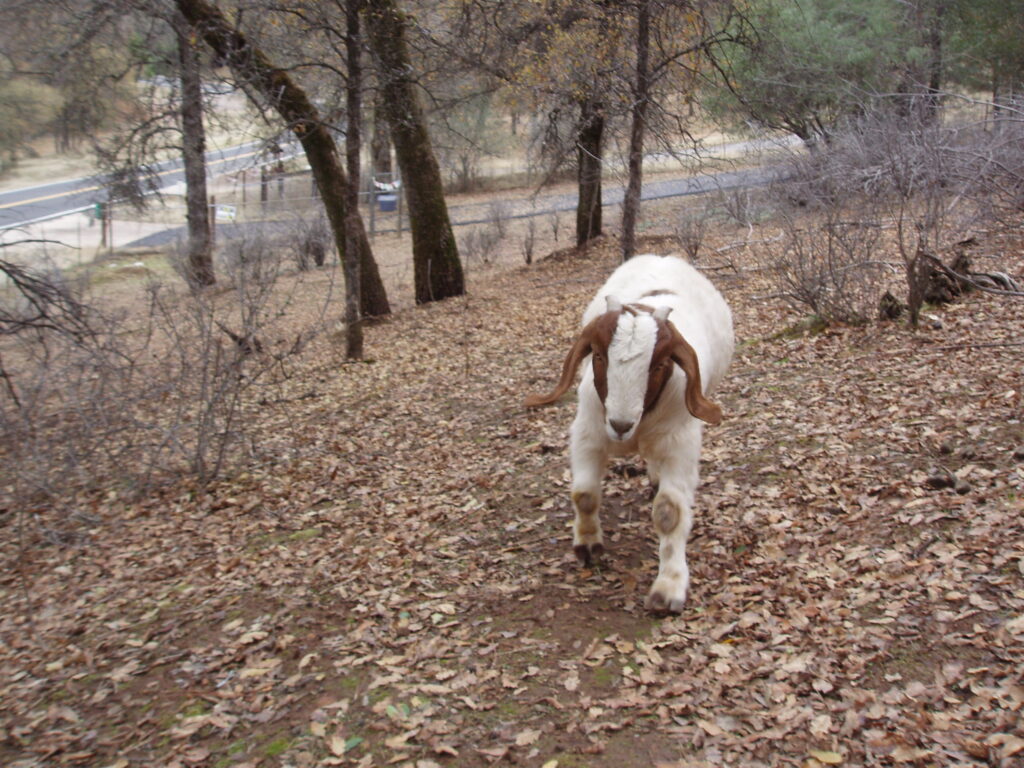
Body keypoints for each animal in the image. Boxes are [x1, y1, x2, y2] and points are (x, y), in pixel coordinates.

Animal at [525, 254, 733, 613]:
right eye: (598, 355)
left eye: (659, 365)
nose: (620, 425)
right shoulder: (588, 433)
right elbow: (584, 495)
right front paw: (588, 546)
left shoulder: (680, 444)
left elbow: (669, 512)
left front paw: (668, 588)